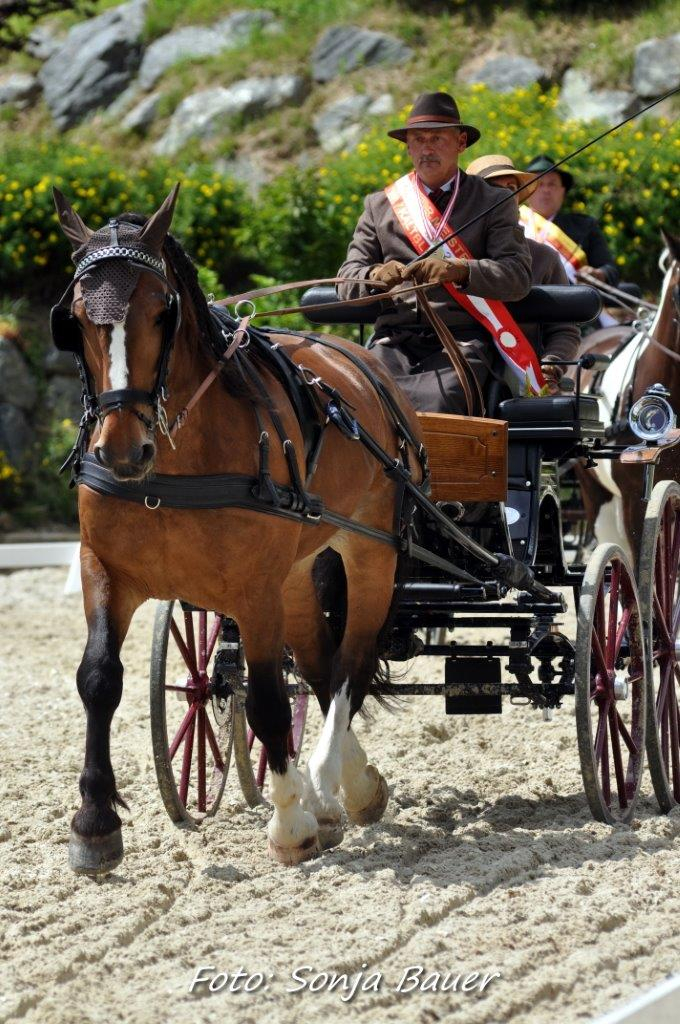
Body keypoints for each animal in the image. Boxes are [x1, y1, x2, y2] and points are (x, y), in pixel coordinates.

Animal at [53, 184, 426, 872]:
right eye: (79, 318)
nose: (122, 450)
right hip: (299, 574)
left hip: (371, 551)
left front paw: (290, 823)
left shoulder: (253, 592)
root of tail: (364, 361)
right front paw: (94, 823)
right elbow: (98, 680)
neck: (171, 465)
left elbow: (268, 699)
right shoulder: (104, 571)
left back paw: (329, 785)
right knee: (320, 665)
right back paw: (338, 787)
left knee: (350, 665)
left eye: (161, 312)